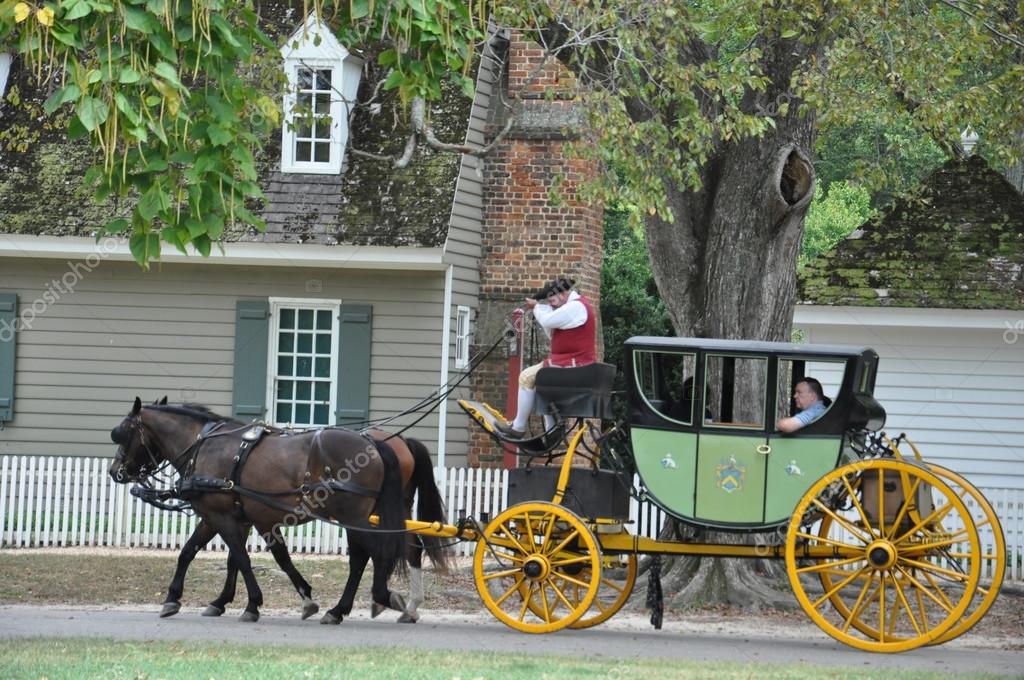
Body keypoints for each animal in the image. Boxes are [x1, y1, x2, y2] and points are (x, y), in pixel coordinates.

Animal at [110, 395, 413, 622]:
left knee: (374, 552)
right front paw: (185, 599)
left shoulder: (222, 517)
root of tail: (373, 443)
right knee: (362, 557)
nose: (115, 471)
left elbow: (242, 559)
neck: (203, 446)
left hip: (352, 514)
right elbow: (193, 553)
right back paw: (342, 609)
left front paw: (253, 604)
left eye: (123, 434)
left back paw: (378, 598)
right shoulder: (223, 517)